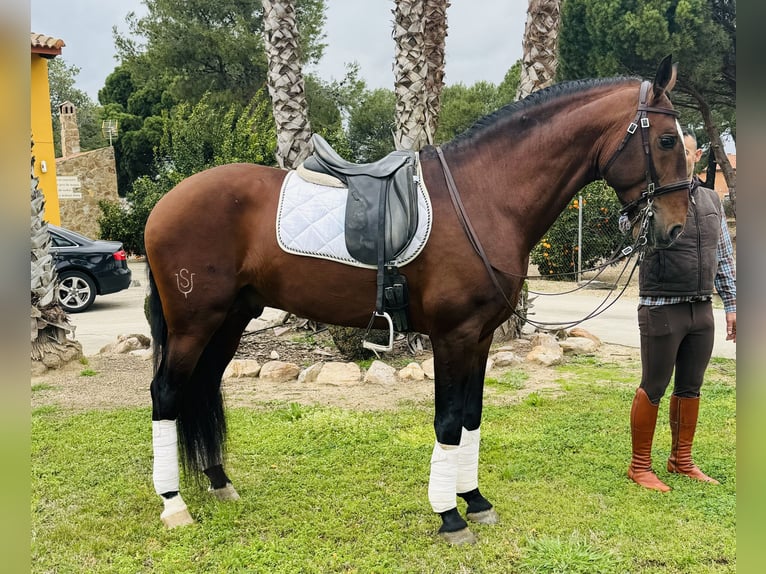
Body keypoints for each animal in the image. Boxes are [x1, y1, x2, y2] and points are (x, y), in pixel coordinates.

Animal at [142, 57, 688, 544]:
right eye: (666, 140)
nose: (676, 227)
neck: (484, 197)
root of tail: (165, 203)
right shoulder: (453, 336)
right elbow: (447, 421)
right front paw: (449, 517)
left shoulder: (480, 338)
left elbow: (471, 417)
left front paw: (475, 500)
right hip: (194, 322)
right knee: (166, 395)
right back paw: (173, 505)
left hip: (231, 318)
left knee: (203, 388)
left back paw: (219, 483)